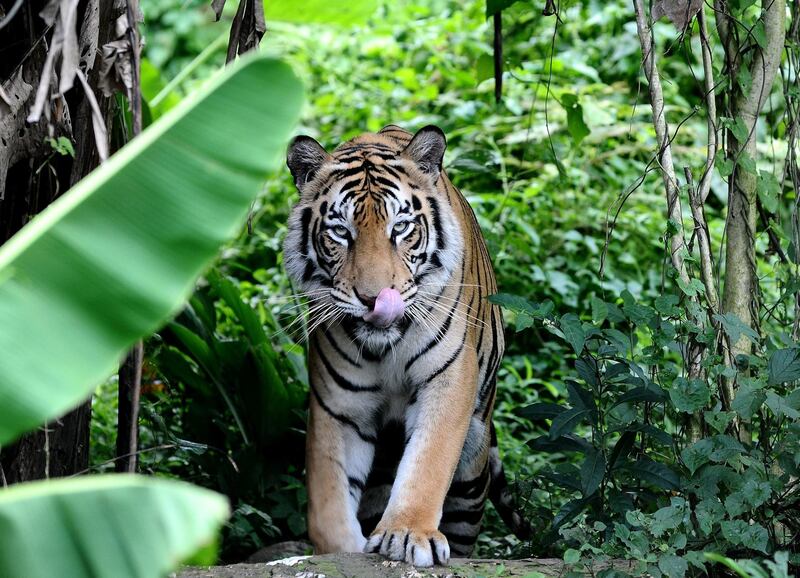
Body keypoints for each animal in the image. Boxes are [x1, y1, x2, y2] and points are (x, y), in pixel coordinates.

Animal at [282, 125, 524, 564]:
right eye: (340, 232)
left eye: (400, 228)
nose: (373, 298)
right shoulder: (339, 407)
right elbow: (327, 503)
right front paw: (344, 550)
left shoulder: (447, 380)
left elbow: (428, 462)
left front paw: (409, 534)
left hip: (472, 468)